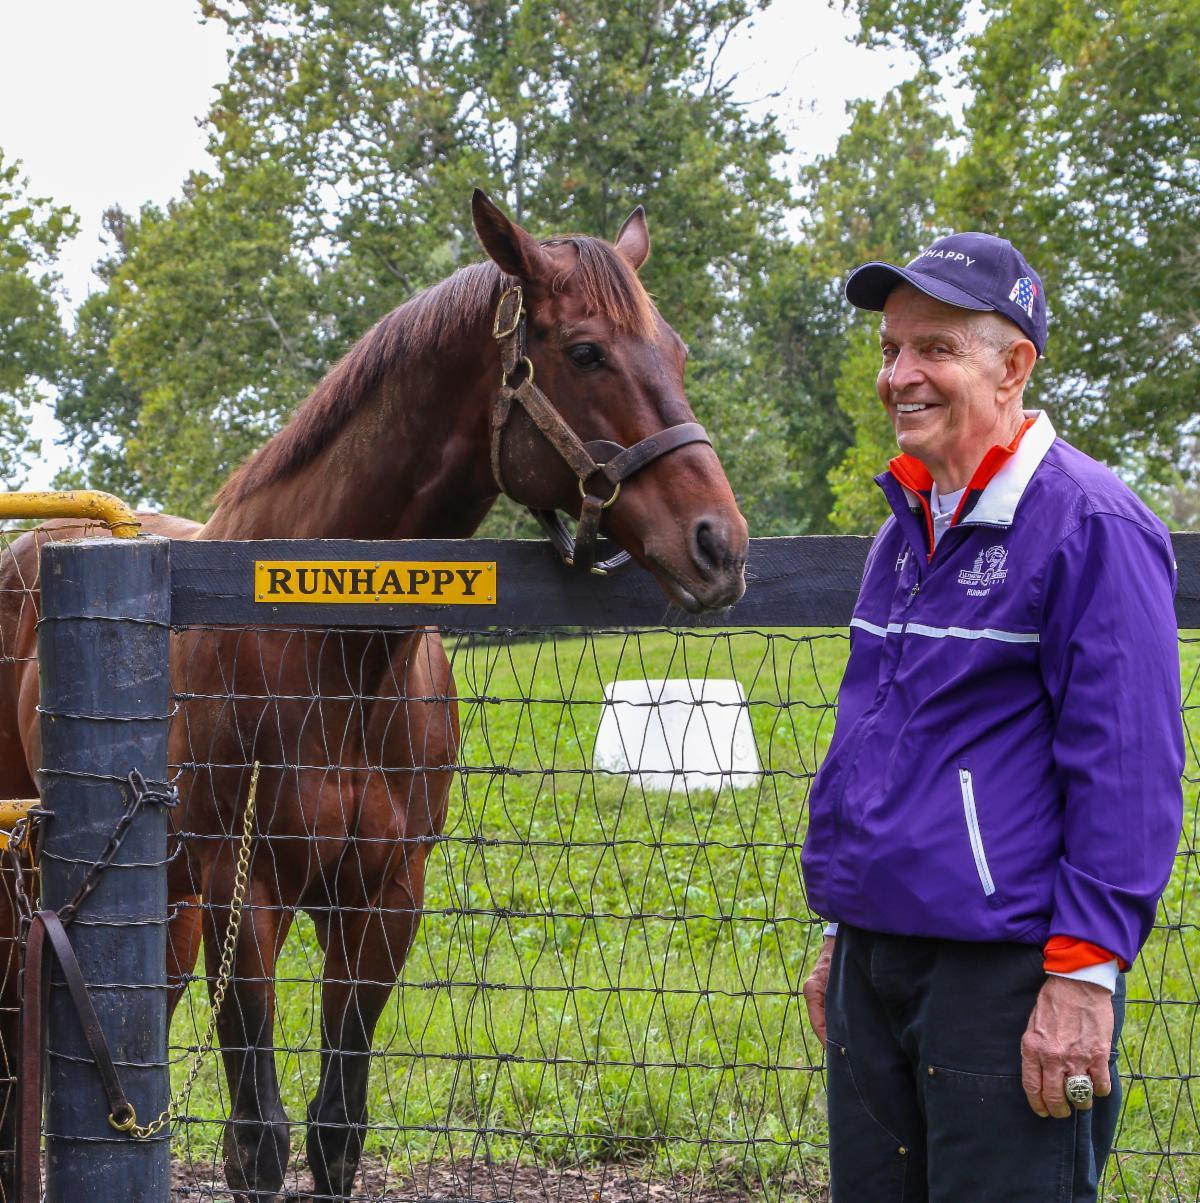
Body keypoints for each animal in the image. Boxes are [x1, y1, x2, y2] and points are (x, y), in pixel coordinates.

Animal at [0, 192, 745, 1198]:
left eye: (678, 351)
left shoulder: (384, 900)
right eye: (586, 351)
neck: (332, 649)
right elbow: (261, 1136)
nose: (719, 544)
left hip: (164, 910)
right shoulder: (249, 894)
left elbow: (336, 1127)